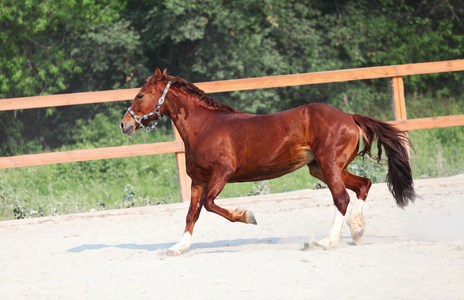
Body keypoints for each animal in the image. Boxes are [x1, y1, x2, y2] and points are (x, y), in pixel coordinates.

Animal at [119, 68, 416, 255]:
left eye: (140, 95)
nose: (124, 124)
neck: (203, 127)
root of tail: (350, 117)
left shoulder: (222, 173)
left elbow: (210, 204)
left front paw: (247, 216)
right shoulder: (199, 179)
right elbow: (192, 213)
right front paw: (177, 248)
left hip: (330, 165)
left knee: (341, 197)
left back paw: (326, 242)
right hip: (321, 168)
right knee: (363, 185)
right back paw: (356, 230)